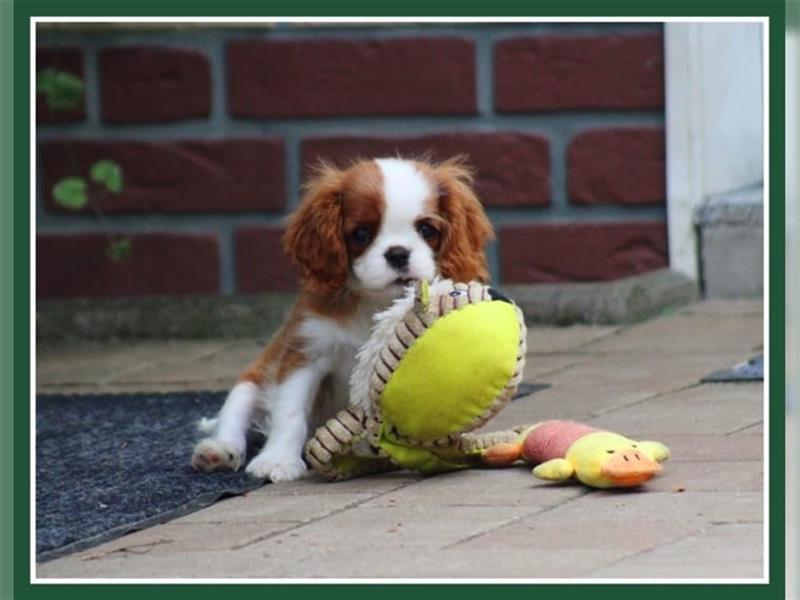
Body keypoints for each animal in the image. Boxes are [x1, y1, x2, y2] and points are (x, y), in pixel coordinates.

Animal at [192, 156, 494, 482]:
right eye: (360, 234)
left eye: (427, 230)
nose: (398, 254)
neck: (374, 302)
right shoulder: (306, 351)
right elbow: (289, 411)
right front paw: (278, 460)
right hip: (253, 380)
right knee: (234, 419)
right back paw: (218, 451)